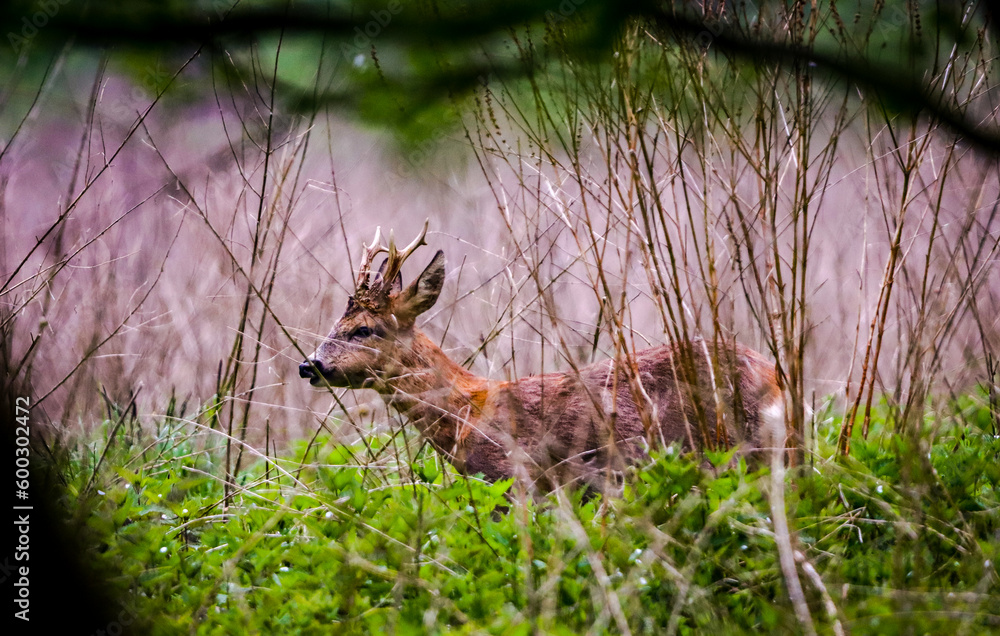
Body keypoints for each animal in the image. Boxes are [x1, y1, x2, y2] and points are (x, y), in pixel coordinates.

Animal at [299, 223, 788, 493]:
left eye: (365, 329)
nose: (310, 365)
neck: (467, 413)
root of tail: (776, 377)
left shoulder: (511, 477)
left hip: (744, 445)